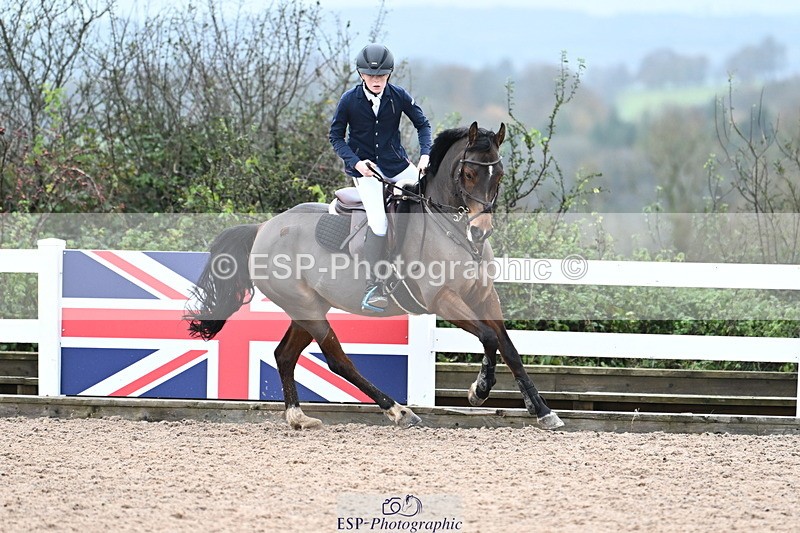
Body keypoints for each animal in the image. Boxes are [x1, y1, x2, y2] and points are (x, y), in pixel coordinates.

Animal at [186, 121, 564, 431]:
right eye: (469, 174)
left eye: (498, 176)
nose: (480, 231)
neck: (453, 229)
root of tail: (263, 228)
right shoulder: (443, 301)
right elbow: (487, 338)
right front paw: (479, 390)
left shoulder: (484, 297)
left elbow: (508, 346)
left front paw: (543, 411)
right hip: (306, 308)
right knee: (338, 360)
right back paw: (398, 410)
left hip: (309, 307)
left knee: (284, 355)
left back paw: (298, 417)